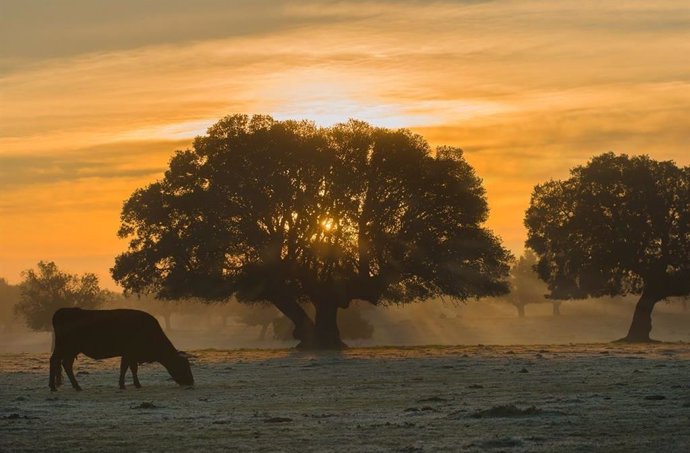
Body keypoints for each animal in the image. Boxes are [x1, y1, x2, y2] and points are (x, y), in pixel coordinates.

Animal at [49, 306, 192, 390]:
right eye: (184, 366)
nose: (191, 382)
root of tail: (61, 311)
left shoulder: (130, 355)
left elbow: (131, 369)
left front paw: (134, 384)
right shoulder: (129, 353)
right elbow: (126, 368)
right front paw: (126, 385)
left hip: (70, 350)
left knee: (65, 364)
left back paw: (74, 386)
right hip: (65, 348)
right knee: (55, 361)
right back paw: (55, 387)